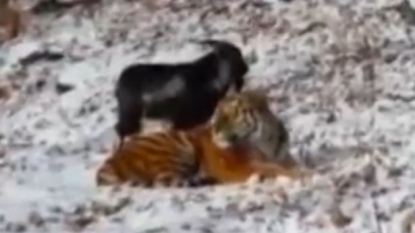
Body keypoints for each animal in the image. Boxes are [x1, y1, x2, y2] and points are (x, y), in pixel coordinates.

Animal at [96, 89, 306, 187]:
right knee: (166, 180)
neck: (266, 141)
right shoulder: (242, 166)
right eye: (218, 113)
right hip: (177, 147)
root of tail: (109, 161)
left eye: (232, 113)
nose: (214, 129)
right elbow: (272, 169)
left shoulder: (284, 157)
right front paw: (303, 174)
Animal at [114, 39, 249, 147]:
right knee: (121, 130)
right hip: (132, 117)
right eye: (238, 55)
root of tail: (120, 81)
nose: (246, 68)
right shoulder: (183, 121)